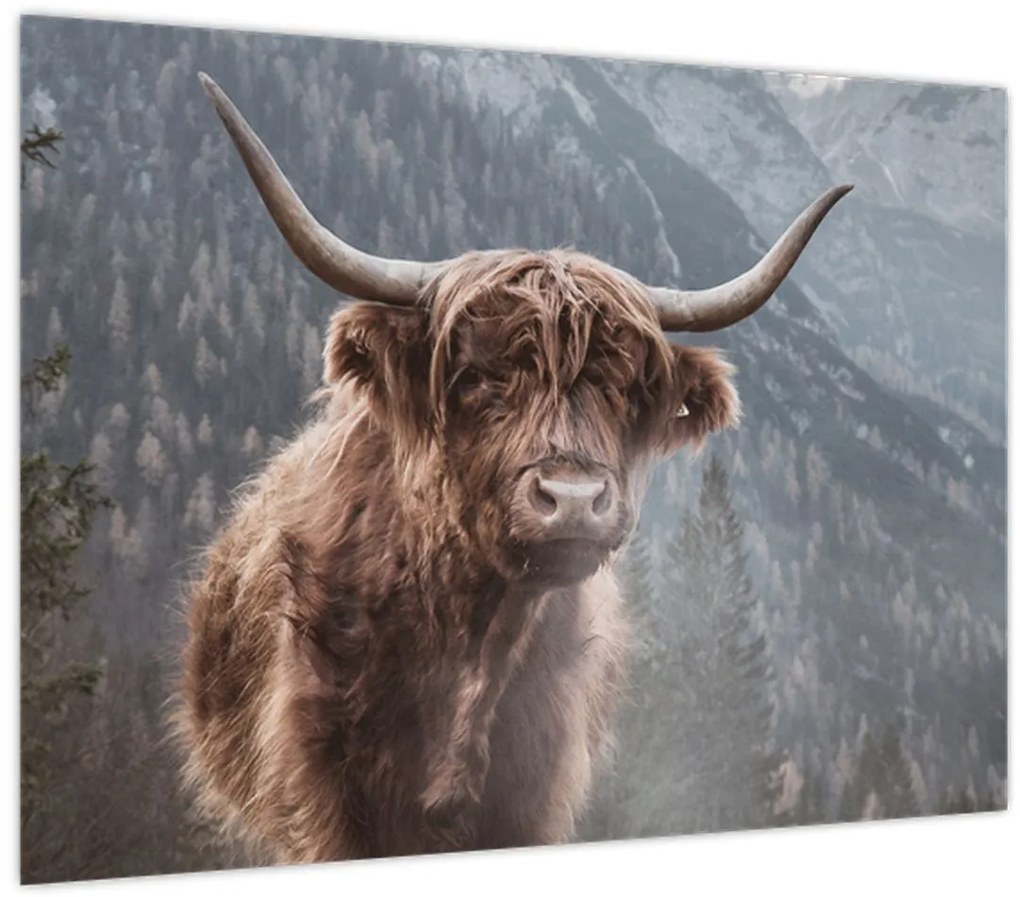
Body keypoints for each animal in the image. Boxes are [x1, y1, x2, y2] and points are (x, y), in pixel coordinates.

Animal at [176, 72, 850, 864]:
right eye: (476, 377)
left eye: (625, 388)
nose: (574, 498)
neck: (471, 637)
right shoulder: (324, 795)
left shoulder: (535, 790)